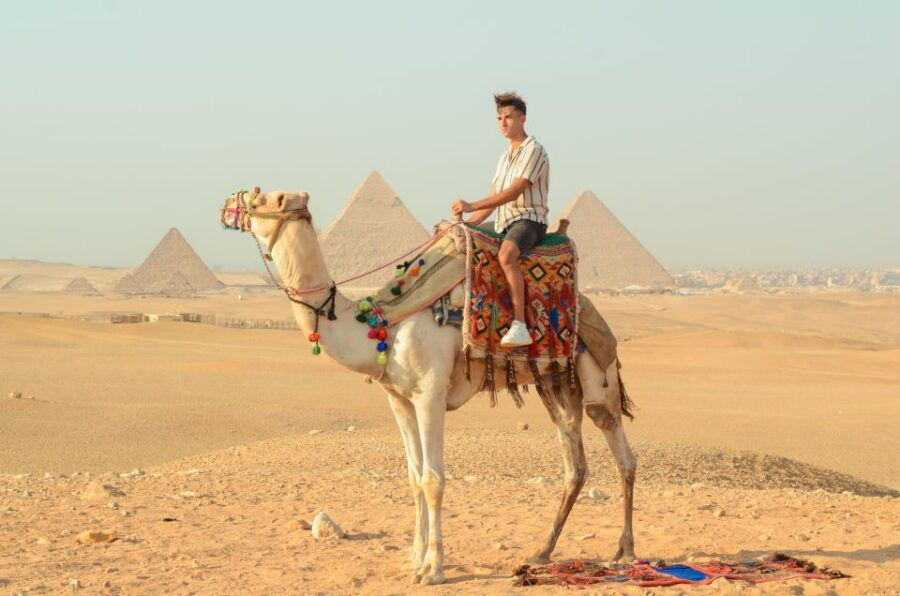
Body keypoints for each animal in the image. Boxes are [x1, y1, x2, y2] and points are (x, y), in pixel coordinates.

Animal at [221, 189, 637, 585]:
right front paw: (413, 558)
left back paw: (625, 551)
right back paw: (542, 552)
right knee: (575, 466)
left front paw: (432, 569)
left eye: (261, 197)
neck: (383, 324)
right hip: (555, 385)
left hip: (598, 377)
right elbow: (413, 478)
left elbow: (433, 479)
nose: (228, 204)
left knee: (623, 455)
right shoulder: (400, 400)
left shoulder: (429, 395)